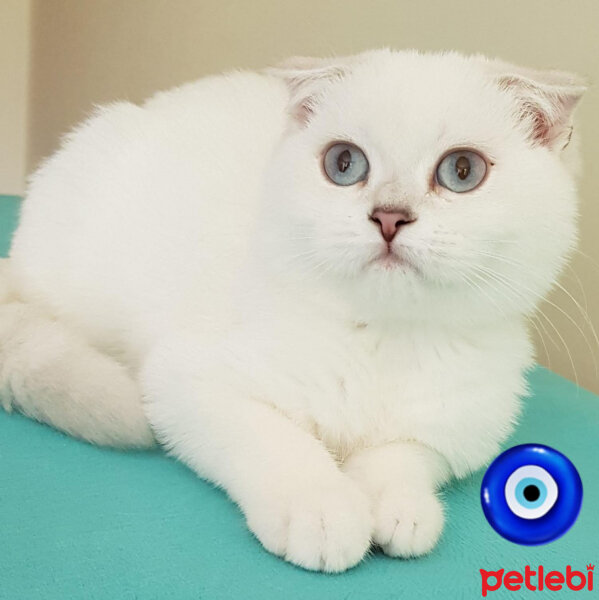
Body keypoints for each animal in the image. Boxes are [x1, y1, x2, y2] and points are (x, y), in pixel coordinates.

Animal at [0, 49, 584, 568]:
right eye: (344, 164)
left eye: (462, 170)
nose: (389, 216)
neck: (380, 338)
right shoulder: (190, 382)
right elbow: (280, 441)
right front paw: (322, 509)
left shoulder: (456, 429)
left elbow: (401, 457)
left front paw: (398, 508)